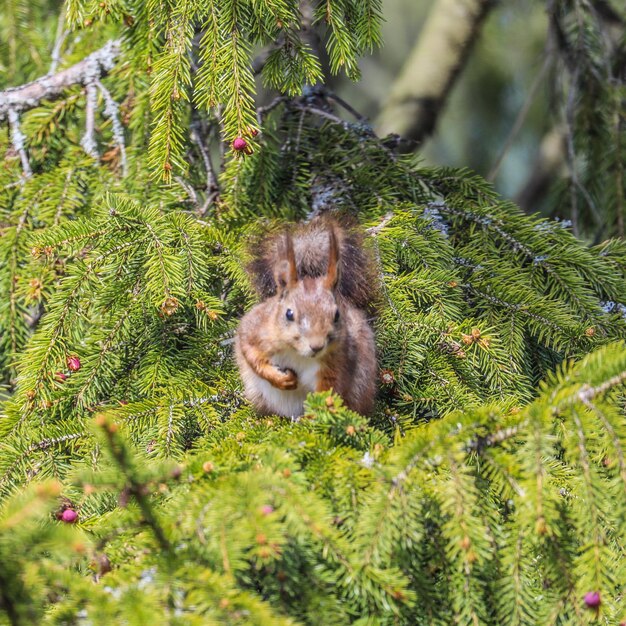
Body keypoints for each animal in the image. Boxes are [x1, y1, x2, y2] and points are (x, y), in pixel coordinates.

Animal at [235, 214, 376, 414]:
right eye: (288, 314)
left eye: (337, 315)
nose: (316, 346)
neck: (297, 353)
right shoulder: (256, 327)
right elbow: (250, 352)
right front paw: (280, 379)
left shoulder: (335, 363)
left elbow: (328, 395)